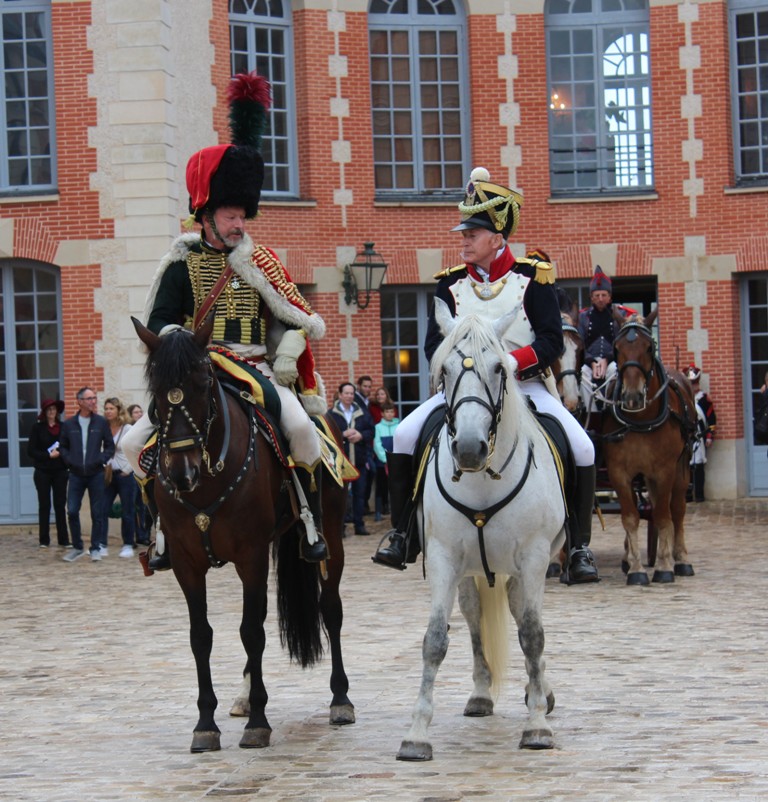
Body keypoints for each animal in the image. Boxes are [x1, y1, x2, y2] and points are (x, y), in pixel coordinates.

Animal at [134, 316, 354, 752]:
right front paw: (206, 723)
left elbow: (251, 632)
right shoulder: (187, 564)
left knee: (330, 610)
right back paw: (244, 695)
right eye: (156, 390)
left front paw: (258, 722)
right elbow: (201, 636)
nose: (182, 473)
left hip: (331, 540)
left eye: (203, 381)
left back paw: (340, 699)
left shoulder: (249, 555)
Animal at [400, 296, 568, 760]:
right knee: (475, 615)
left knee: (525, 615)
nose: (470, 449)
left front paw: (537, 726)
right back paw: (480, 693)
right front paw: (417, 733)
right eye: (444, 370)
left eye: (499, 368)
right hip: (472, 569)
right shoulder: (443, 557)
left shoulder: (534, 557)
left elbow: (533, 634)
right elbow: (435, 639)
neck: (482, 479)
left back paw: (541, 693)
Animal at [604, 310, 700, 584]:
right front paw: (636, 568)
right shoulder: (618, 472)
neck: (640, 420)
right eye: (617, 347)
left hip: (680, 468)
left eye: (649, 347)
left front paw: (664, 566)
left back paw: (680, 559)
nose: (632, 397)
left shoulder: (664, 470)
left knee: (675, 509)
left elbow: (662, 515)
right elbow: (630, 517)